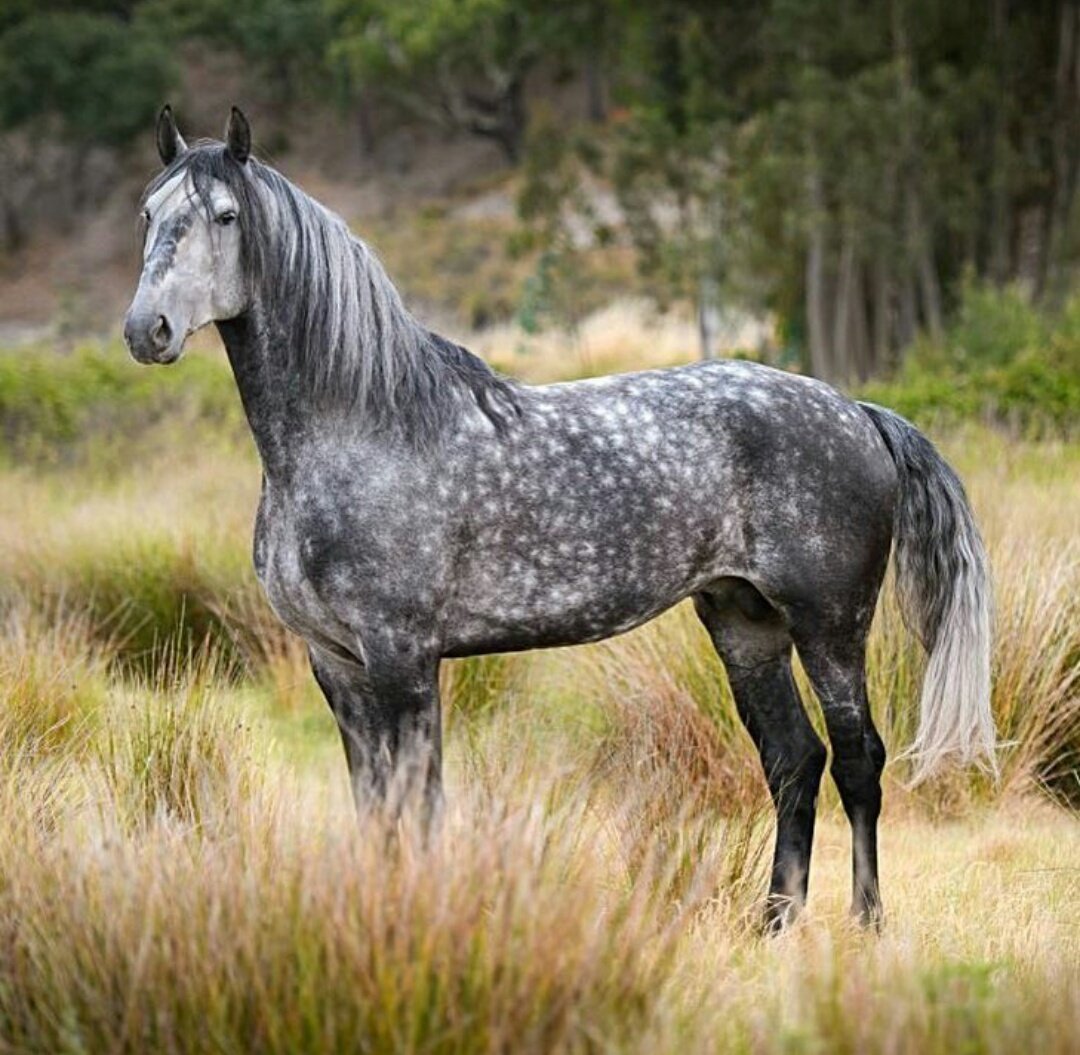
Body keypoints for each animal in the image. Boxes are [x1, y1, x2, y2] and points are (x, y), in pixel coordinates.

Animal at [122, 109, 989, 928]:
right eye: (148, 213)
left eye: (226, 216)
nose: (146, 331)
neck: (364, 426)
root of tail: (859, 411)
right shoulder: (336, 662)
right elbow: (377, 810)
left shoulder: (404, 659)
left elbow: (422, 807)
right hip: (745, 624)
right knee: (794, 760)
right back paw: (774, 922)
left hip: (830, 626)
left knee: (857, 760)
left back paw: (865, 922)